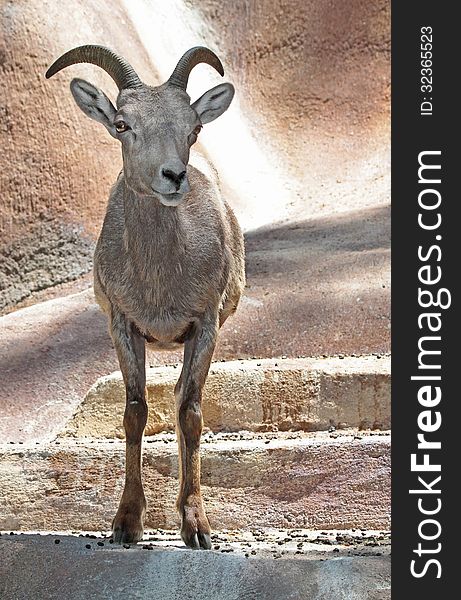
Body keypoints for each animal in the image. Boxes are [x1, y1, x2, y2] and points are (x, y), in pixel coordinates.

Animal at [47, 45, 246, 548]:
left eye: (193, 128)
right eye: (122, 124)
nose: (172, 176)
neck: (160, 284)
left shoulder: (205, 325)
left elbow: (190, 413)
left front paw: (196, 527)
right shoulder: (123, 325)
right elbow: (135, 413)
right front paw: (127, 524)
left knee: (178, 400)